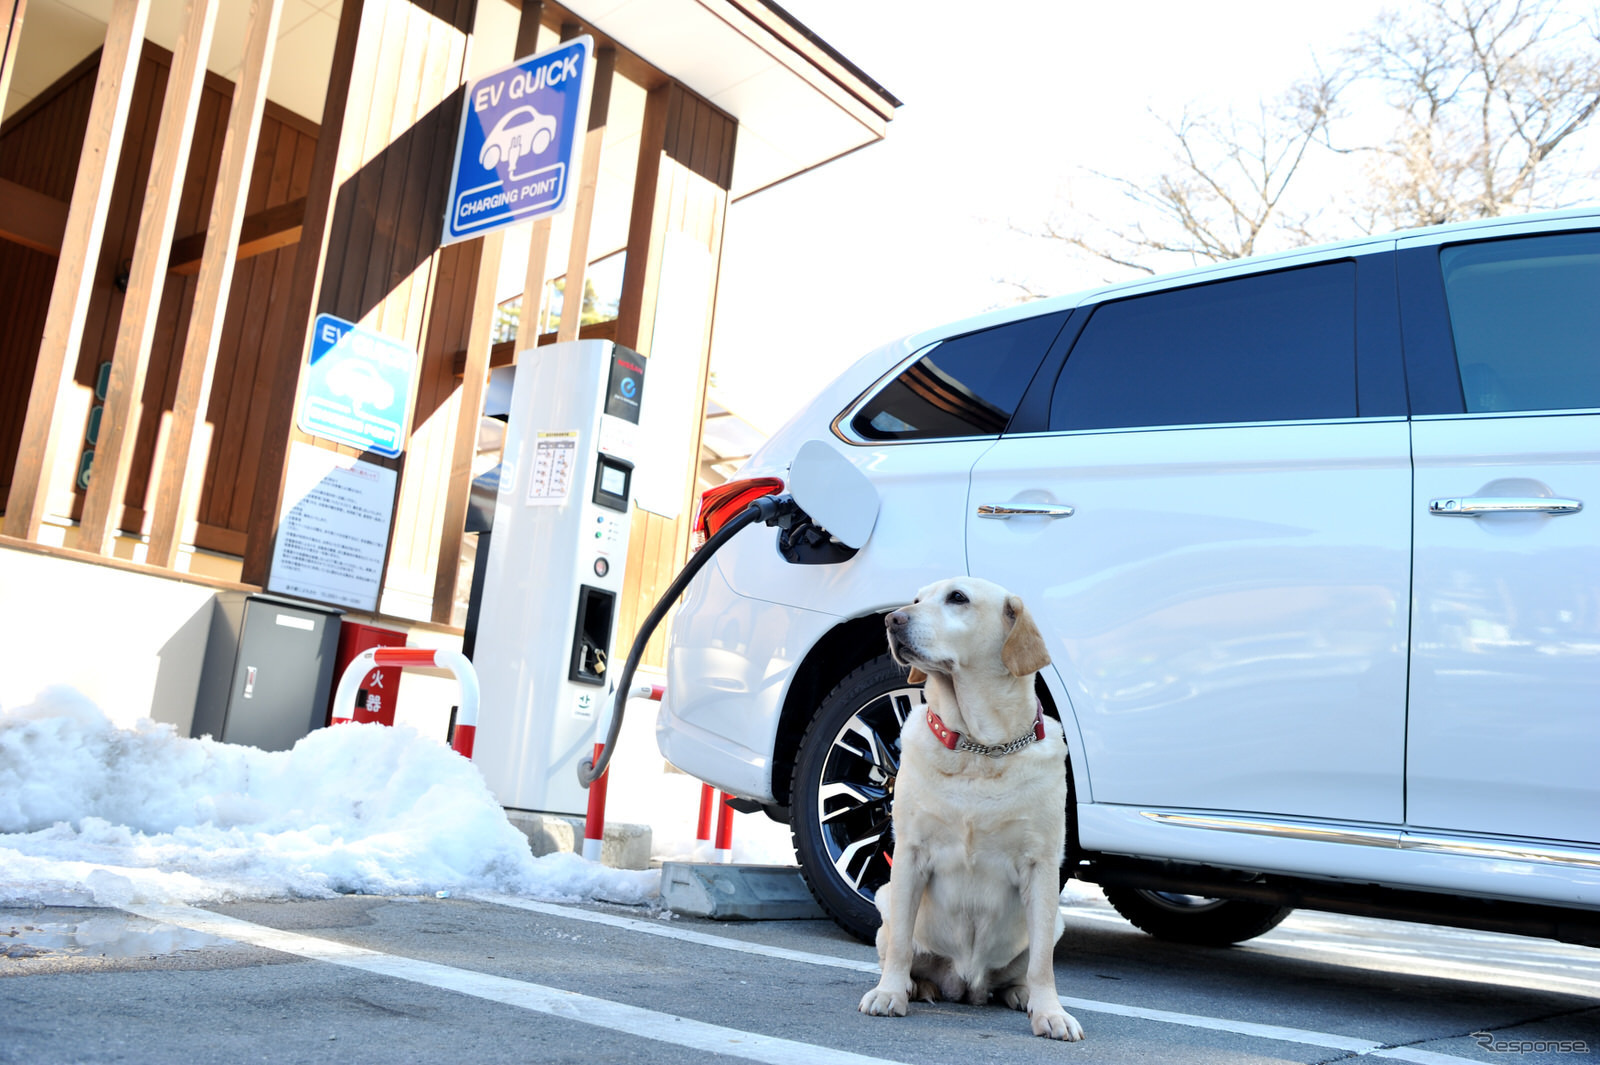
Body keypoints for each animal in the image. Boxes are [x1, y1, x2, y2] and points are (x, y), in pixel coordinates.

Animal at [857, 572, 1081, 1036]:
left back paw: (1020, 994)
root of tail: (965, 986)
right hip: (886, 897)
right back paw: (915, 985)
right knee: (899, 947)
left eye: (957, 598)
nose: (890, 619)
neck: (978, 749)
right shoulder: (909, 853)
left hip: (1054, 922)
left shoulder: (1041, 864)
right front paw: (890, 993)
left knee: (1021, 969)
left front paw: (1050, 1012)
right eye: (916, 599)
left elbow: (1043, 964)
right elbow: (902, 942)